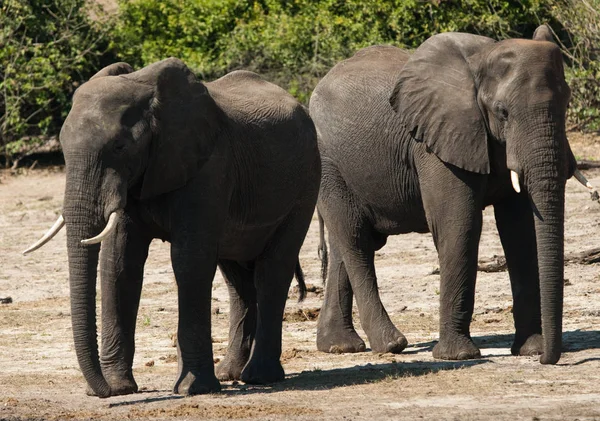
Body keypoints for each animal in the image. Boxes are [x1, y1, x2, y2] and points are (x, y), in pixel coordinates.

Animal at [23, 57, 322, 396]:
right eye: (62, 147)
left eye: (120, 146)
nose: (102, 391)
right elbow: (119, 264)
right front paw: (121, 388)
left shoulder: (208, 168)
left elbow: (189, 262)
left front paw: (193, 389)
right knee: (237, 279)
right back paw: (230, 373)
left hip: (306, 182)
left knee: (272, 271)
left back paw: (259, 377)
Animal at [310, 25, 584, 364]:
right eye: (502, 112)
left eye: (567, 102)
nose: (548, 358)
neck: (483, 59)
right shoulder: (436, 143)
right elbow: (459, 225)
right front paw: (458, 356)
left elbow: (520, 231)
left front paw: (530, 349)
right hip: (327, 162)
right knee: (355, 239)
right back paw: (390, 344)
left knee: (343, 243)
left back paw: (340, 346)